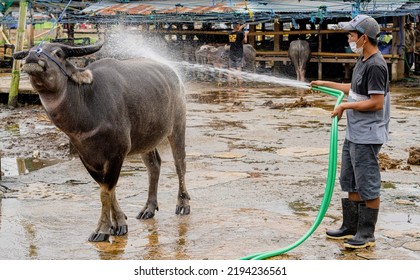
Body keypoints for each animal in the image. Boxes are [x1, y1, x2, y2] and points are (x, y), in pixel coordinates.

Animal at [12, 40, 190, 242]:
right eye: (30, 50)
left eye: (58, 53)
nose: (32, 57)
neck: (87, 105)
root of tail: (173, 74)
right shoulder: (86, 157)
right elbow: (108, 190)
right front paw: (118, 222)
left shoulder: (116, 154)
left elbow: (106, 192)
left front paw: (103, 229)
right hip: (146, 139)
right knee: (154, 166)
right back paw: (148, 208)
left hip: (177, 126)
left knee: (180, 163)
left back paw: (183, 204)